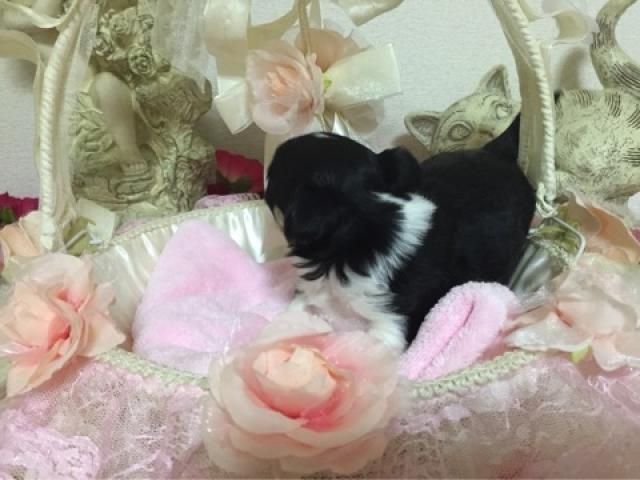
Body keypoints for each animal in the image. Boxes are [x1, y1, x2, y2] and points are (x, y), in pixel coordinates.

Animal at [265, 116, 535, 352]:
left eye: (272, 174)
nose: (276, 145)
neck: (371, 222)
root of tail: (497, 153)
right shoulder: (313, 293)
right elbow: (295, 311)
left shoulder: (390, 324)